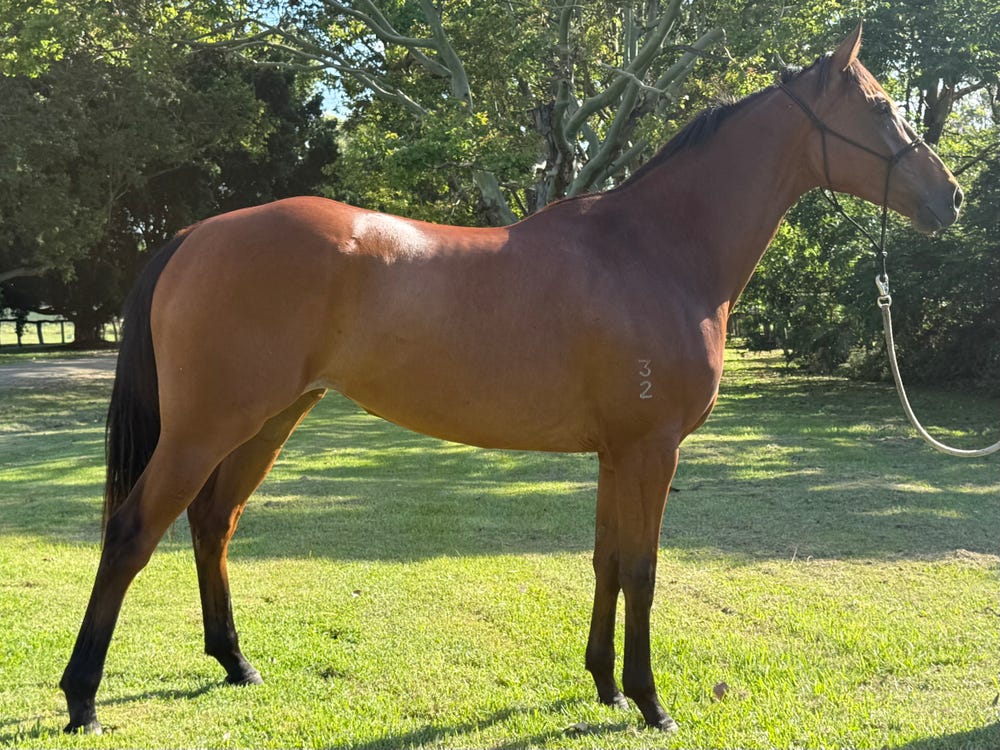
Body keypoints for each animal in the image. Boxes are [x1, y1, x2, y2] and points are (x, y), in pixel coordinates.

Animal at [60, 24, 962, 734]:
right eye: (881, 108)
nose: (951, 197)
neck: (658, 248)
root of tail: (194, 234)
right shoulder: (652, 448)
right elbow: (642, 569)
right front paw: (650, 702)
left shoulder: (617, 452)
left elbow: (606, 560)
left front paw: (604, 685)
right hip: (208, 426)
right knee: (133, 531)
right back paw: (83, 699)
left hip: (271, 419)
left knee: (214, 522)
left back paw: (235, 663)